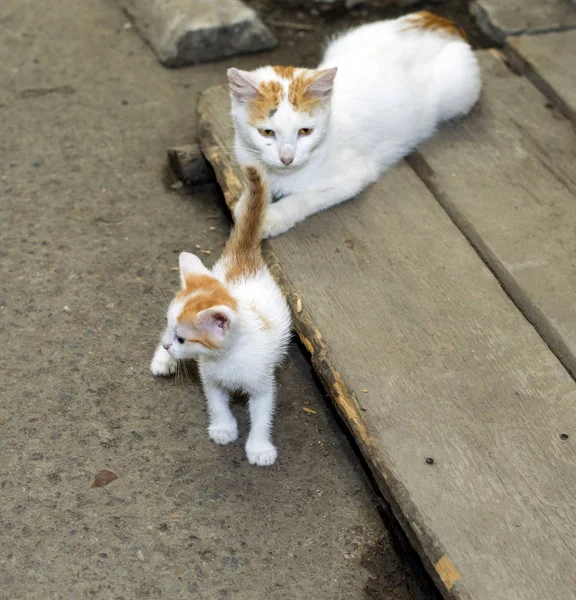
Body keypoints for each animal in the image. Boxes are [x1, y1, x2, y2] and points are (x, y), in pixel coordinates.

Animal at [151, 166, 290, 466]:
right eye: (171, 330)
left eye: (182, 339)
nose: (168, 346)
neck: (227, 358)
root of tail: (243, 259)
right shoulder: (210, 377)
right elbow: (216, 403)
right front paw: (223, 428)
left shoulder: (263, 384)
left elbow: (262, 416)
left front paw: (259, 448)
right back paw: (161, 361)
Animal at [230, 11, 482, 237]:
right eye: (267, 132)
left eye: (305, 131)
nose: (287, 158)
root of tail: (440, 21)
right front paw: (248, 205)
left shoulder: (354, 176)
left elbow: (305, 198)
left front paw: (273, 216)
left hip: (458, 92)